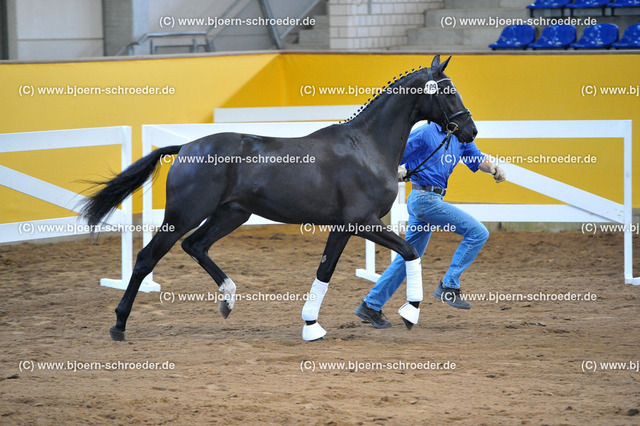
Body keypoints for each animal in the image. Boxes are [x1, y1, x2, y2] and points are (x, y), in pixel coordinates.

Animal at [81, 55, 476, 342]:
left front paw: (311, 326)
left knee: (196, 246)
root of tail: (187, 147)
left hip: (230, 215)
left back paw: (227, 299)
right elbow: (409, 252)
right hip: (184, 215)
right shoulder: (363, 222)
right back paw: (119, 325)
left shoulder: (343, 227)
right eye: (448, 91)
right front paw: (411, 312)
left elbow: (325, 271)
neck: (366, 147)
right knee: (148, 257)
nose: (470, 130)